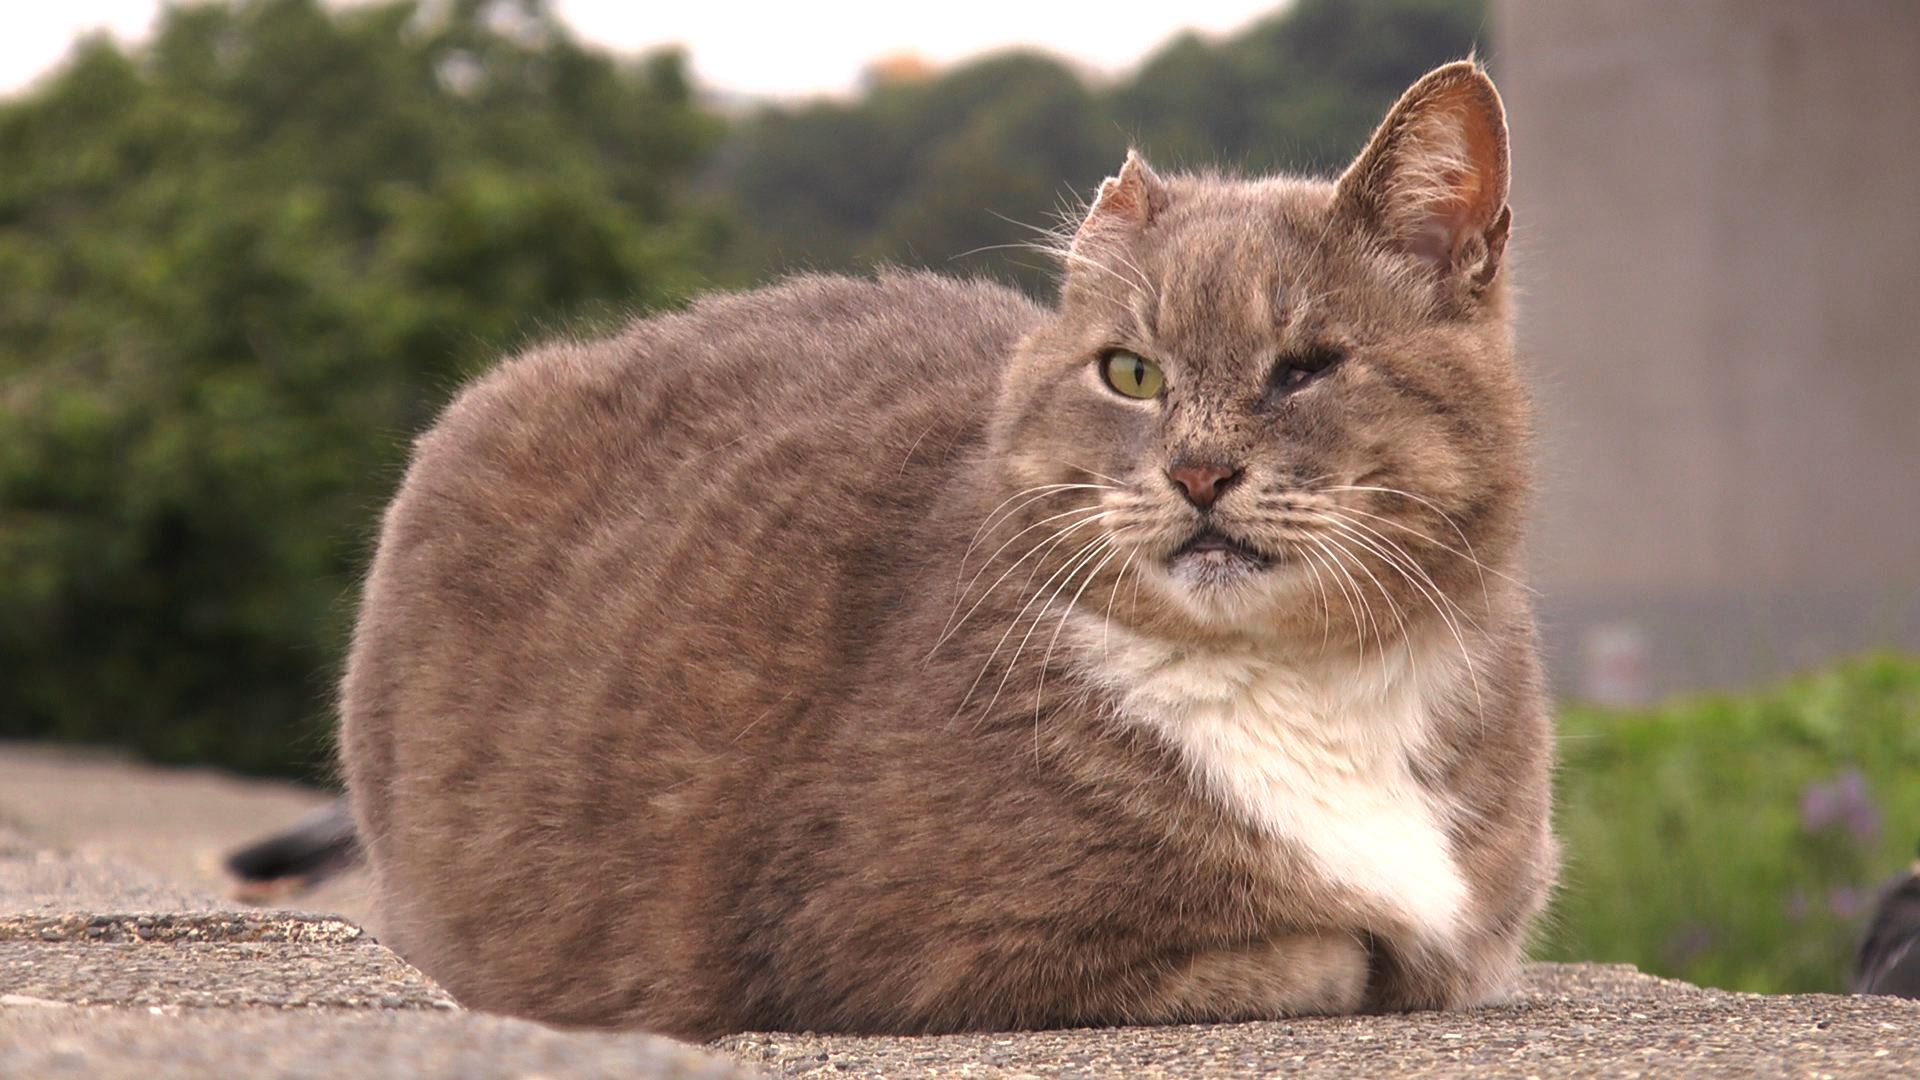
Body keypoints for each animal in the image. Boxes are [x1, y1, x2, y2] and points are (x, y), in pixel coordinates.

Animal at [334, 61, 1559, 1037]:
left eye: (1306, 368)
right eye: (1132, 373)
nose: (1198, 473)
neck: (1313, 687)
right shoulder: (898, 942)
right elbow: (1327, 952)